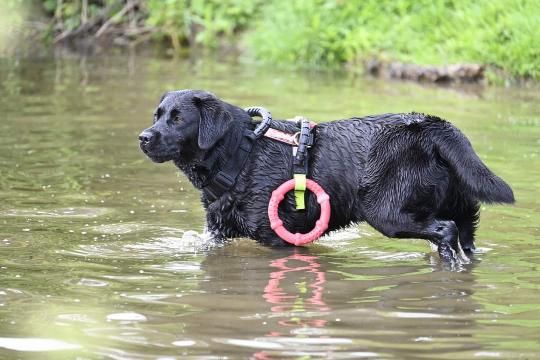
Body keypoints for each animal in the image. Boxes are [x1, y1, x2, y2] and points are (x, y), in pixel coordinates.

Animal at [139, 89, 516, 264]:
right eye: (157, 115)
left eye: (178, 119)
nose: (143, 136)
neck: (241, 154)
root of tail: (428, 125)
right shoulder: (217, 234)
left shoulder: (279, 238)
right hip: (460, 207)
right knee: (463, 236)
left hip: (388, 213)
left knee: (445, 230)